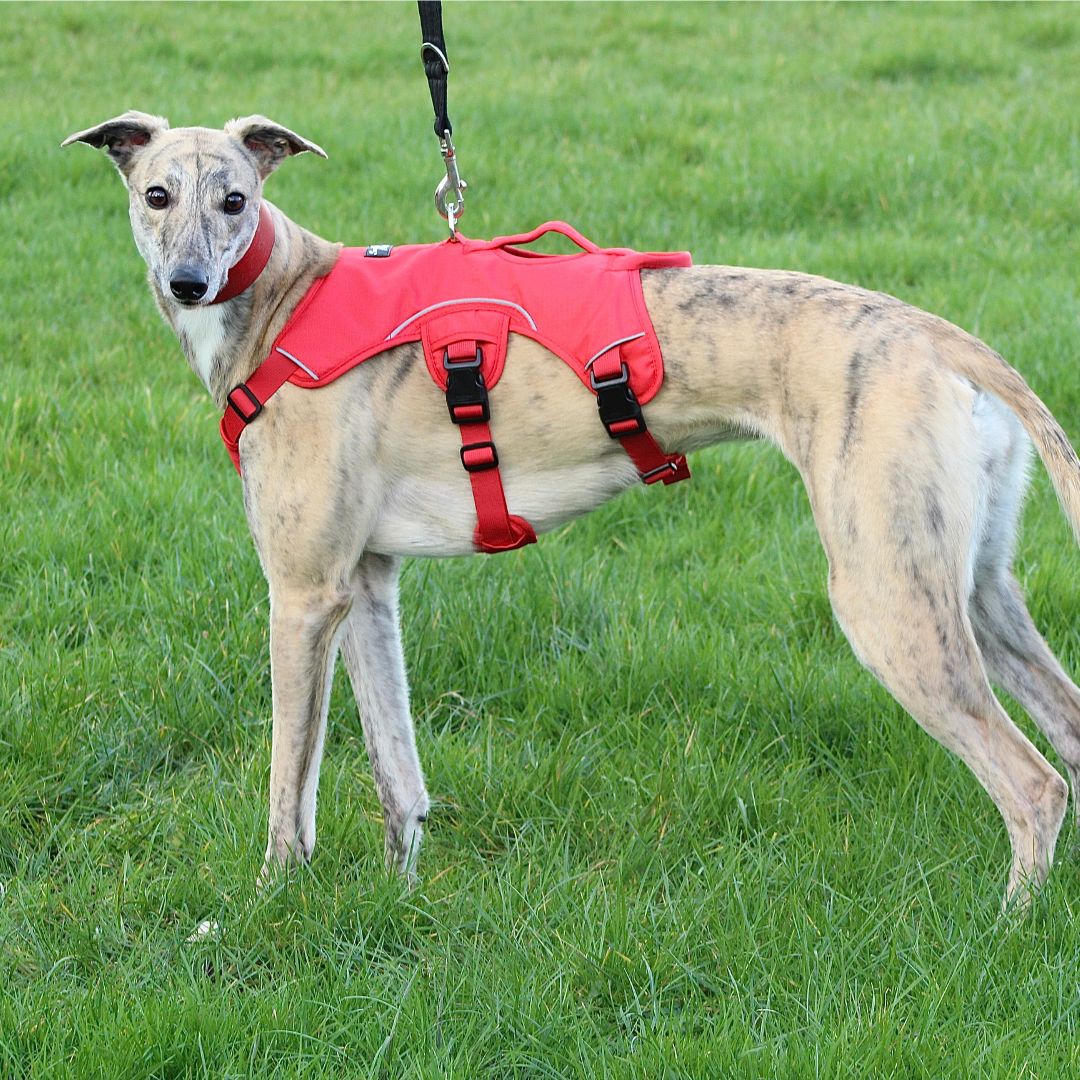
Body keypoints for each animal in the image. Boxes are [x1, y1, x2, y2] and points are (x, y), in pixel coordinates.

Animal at [65, 113, 1080, 911]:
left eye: (235, 200)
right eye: (157, 195)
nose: (188, 282)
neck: (286, 302)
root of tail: (938, 336)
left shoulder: (304, 594)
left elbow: (290, 786)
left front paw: (271, 899)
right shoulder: (366, 585)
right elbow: (399, 778)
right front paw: (399, 896)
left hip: (885, 600)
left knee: (1034, 784)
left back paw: (1006, 926)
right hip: (972, 589)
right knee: (1065, 730)